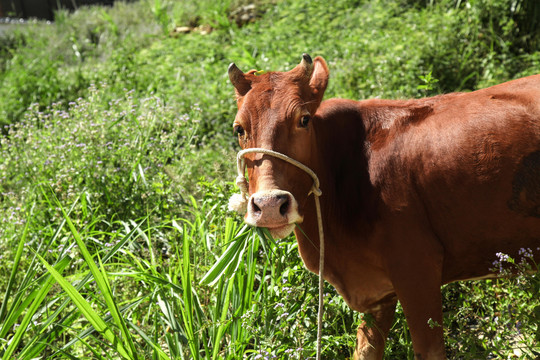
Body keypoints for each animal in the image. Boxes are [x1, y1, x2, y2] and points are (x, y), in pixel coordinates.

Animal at [227, 54, 540, 360]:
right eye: (239, 129)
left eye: (303, 119)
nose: (269, 205)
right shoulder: (376, 295)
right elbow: (365, 351)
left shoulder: (417, 270)